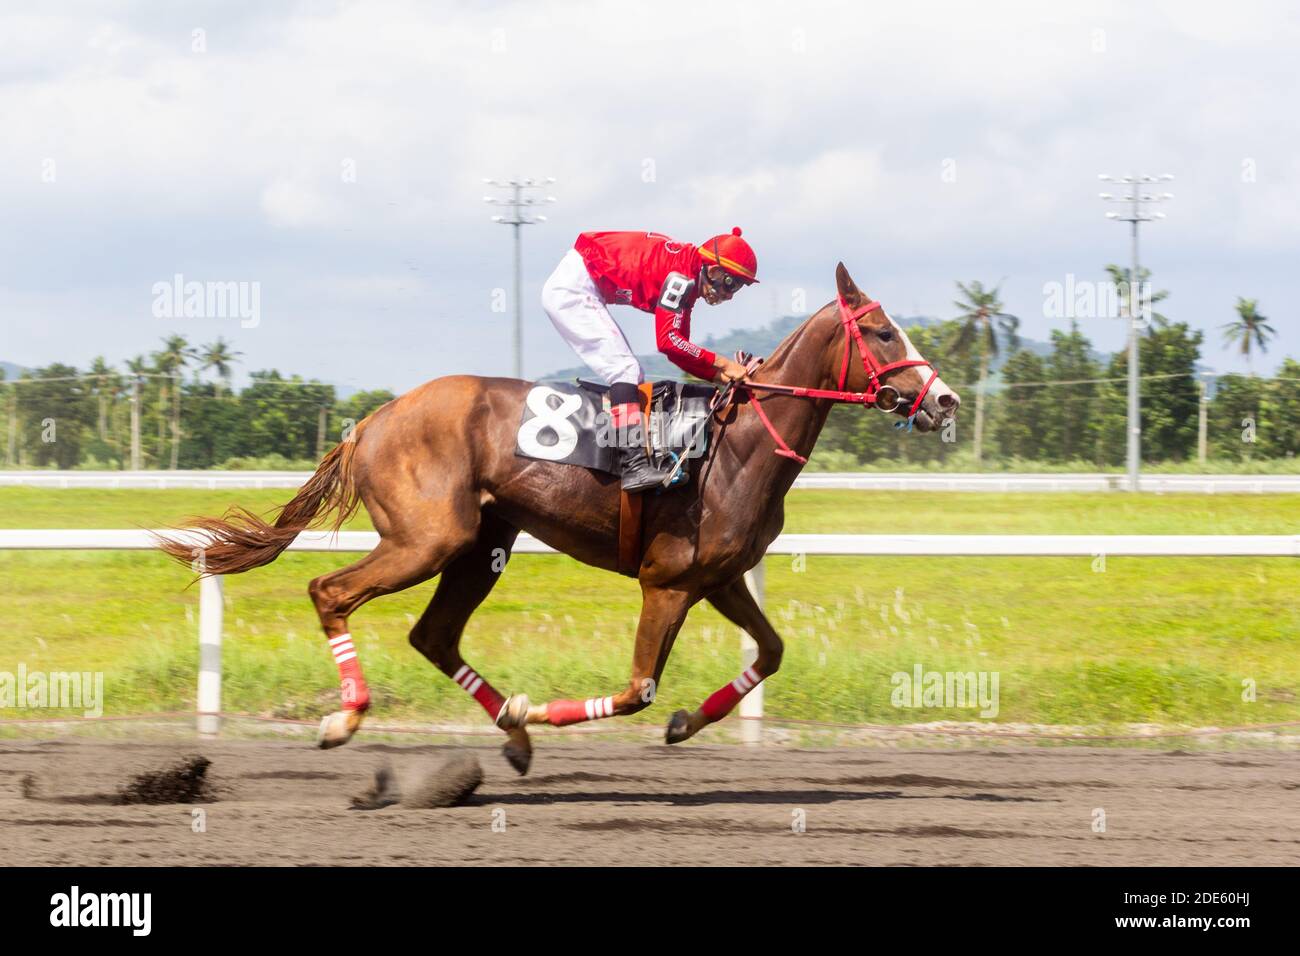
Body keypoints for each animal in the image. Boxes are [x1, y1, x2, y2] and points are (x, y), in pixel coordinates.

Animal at [157, 263, 960, 774]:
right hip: (427, 538)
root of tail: (374, 418)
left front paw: (683, 722)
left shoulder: (721, 579)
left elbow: (771, 653)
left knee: (432, 634)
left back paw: (510, 735)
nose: (945, 399)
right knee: (331, 592)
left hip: (481, 543)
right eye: (883, 333)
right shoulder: (667, 582)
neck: (737, 448)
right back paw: (348, 717)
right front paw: (540, 711)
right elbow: (637, 690)